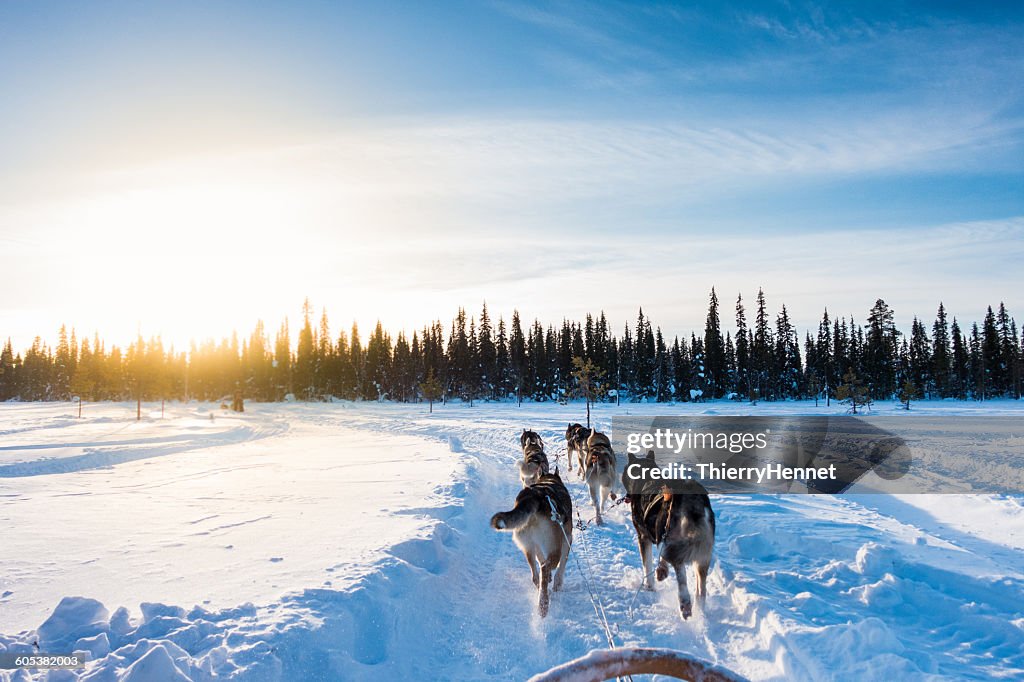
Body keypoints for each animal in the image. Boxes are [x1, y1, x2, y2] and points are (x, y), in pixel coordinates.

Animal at [489, 471, 573, 614]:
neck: (549, 480)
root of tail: (533, 496)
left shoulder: (537, 545)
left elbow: (541, 559)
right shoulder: (567, 539)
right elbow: (561, 568)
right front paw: (557, 584)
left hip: (528, 546)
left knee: (535, 574)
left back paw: (541, 592)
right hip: (554, 548)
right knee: (545, 567)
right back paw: (543, 604)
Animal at [618, 448, 716, 618]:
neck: (646, 477)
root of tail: (693, 498)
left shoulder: (643, 537)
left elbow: (647, 565)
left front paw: (650, 585)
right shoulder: (661, 537)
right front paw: (661, 571)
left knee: (680, 573)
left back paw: (685, 602)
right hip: (702, 553)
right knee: (701, 591)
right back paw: (699, 611)